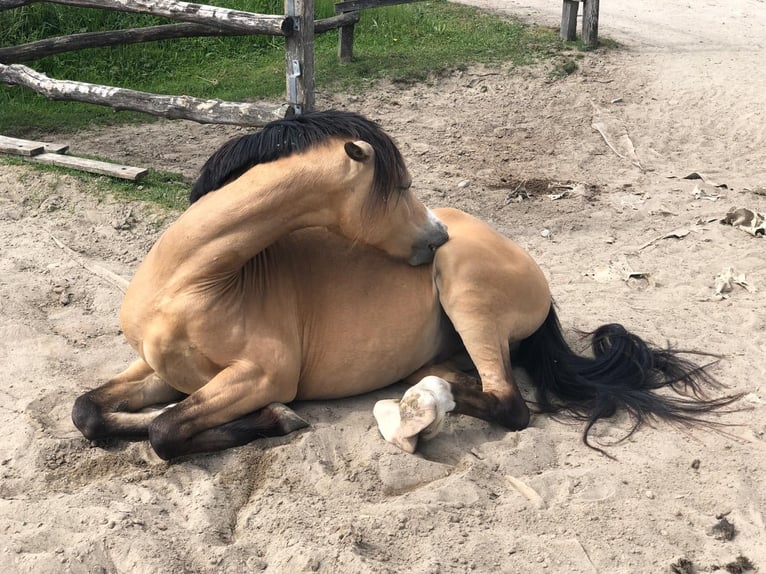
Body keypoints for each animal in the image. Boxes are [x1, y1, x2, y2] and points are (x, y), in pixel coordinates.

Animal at [72, 110, 736, 462]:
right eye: (400, 186)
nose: (436, 236)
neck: (195, 282)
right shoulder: (161, 370)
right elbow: (90, 413)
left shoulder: (261, 375)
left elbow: (167, 431)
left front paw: (277, 420)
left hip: (466, 294)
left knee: (508, 402)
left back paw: (424, 405)